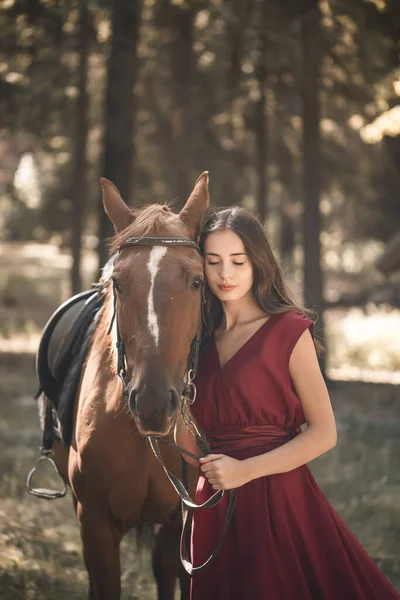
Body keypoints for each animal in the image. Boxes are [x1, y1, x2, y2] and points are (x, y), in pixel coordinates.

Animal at [54, 171, 209, 596]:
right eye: (119, 283)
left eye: (197, 281)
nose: (153, 403)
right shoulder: (93, 522)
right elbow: (104, 584)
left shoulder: (180, 521)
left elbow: (170, 575)